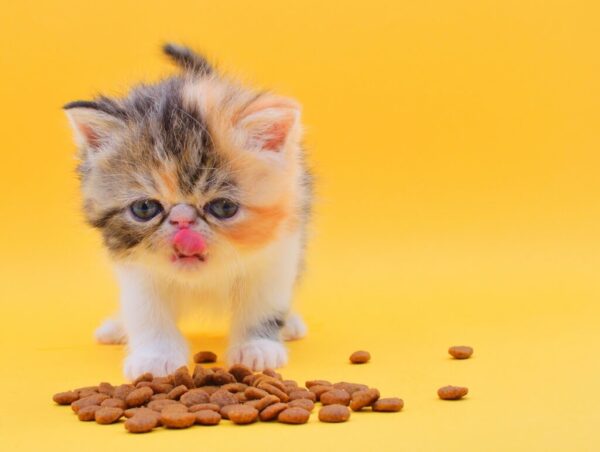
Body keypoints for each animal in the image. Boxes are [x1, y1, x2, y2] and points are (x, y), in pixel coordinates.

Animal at [63, 45, 312, 378]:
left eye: (223, 207)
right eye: (145, 208)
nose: (182, 220)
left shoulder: (277, 253)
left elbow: (263, 303)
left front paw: (257, 347)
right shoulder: (136, 267)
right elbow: (146, 310)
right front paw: (155, 357)